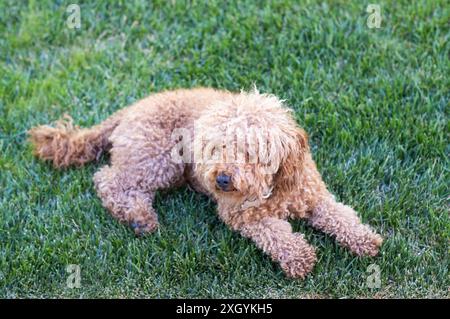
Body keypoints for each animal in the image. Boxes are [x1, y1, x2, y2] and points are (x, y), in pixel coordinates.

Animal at [28, 88, 382, 280]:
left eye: (250, 150)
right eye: (216, 147)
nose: (221, 179)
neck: (274, 187)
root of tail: (128, 109)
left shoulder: (314, 196)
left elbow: (341, 215)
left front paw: (365, 240)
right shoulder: (240, 215)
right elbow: (276, 233)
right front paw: (299, 257)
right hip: (158, 160)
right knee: (108, 180)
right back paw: (140, 218)